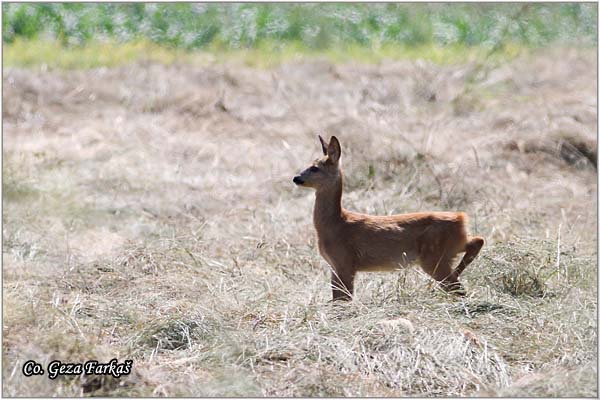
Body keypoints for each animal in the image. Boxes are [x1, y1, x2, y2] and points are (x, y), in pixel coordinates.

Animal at [292, 135, 486, 300]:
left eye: (315, 168)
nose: (296, 178)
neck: (336, 223)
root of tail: (461, 218)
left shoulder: (344, 260)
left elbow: (343, 299)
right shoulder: (334, 265)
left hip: (434, 258)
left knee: (458, 288)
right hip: (450, 248)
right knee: (477, 241)